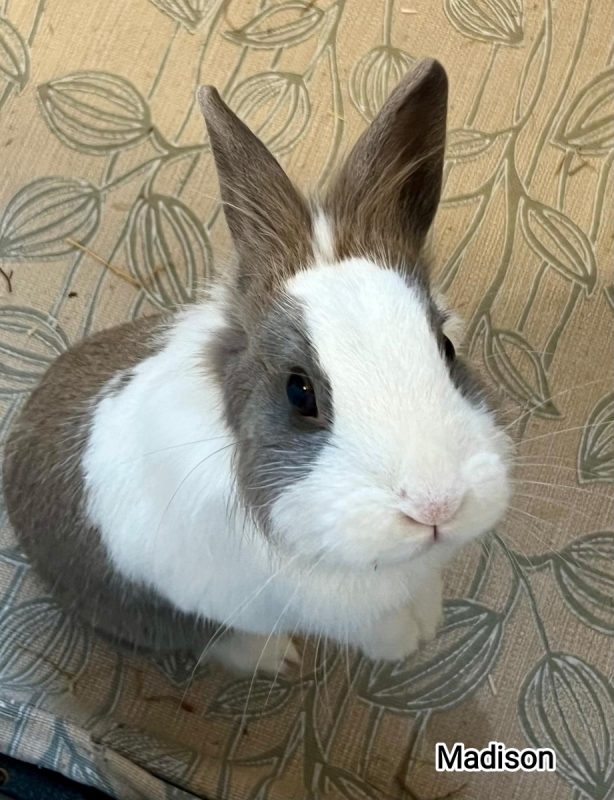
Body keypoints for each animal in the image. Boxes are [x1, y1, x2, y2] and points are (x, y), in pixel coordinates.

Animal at [2, 59, 511, 677]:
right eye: (299, 392)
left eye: (446, 347)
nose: (436, 506)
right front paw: (404, 643)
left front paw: (429, 623)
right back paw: (273, 657)